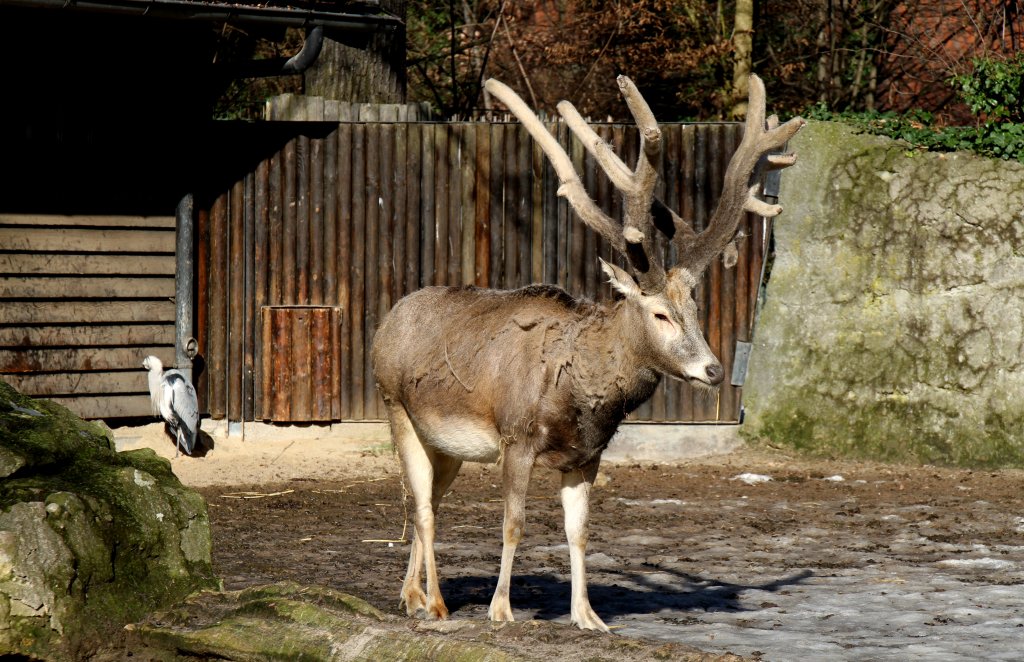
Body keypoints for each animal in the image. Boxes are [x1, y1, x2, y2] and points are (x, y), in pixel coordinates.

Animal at [372, 75, 802, 635]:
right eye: (660, 314)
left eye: (695, 307)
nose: (711, 369)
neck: (582, 399)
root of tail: (386, 324)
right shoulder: (516, 437)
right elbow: (513, 524)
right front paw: (502, 609)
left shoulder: (587, 455)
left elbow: (579, 532)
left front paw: (589, 615)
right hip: (396, 406)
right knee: (421, 506)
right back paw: (436, 603)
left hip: (445, 444)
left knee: (428, 502)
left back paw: (411, 595)